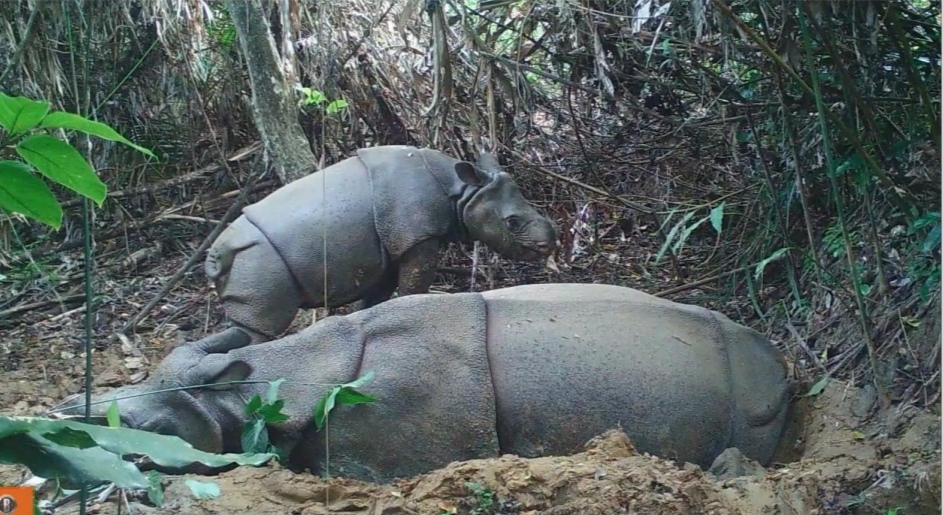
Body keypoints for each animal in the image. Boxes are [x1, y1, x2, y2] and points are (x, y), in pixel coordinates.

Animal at [205, 145, 558, 341]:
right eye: (512, 222)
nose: (549, 245)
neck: (461, 191)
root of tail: (216, 253)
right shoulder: (417, 237)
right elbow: (413, 288)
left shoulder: (389, 248)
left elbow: (375, 300)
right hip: (258, 261)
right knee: (258, 330)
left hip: (250, 263)